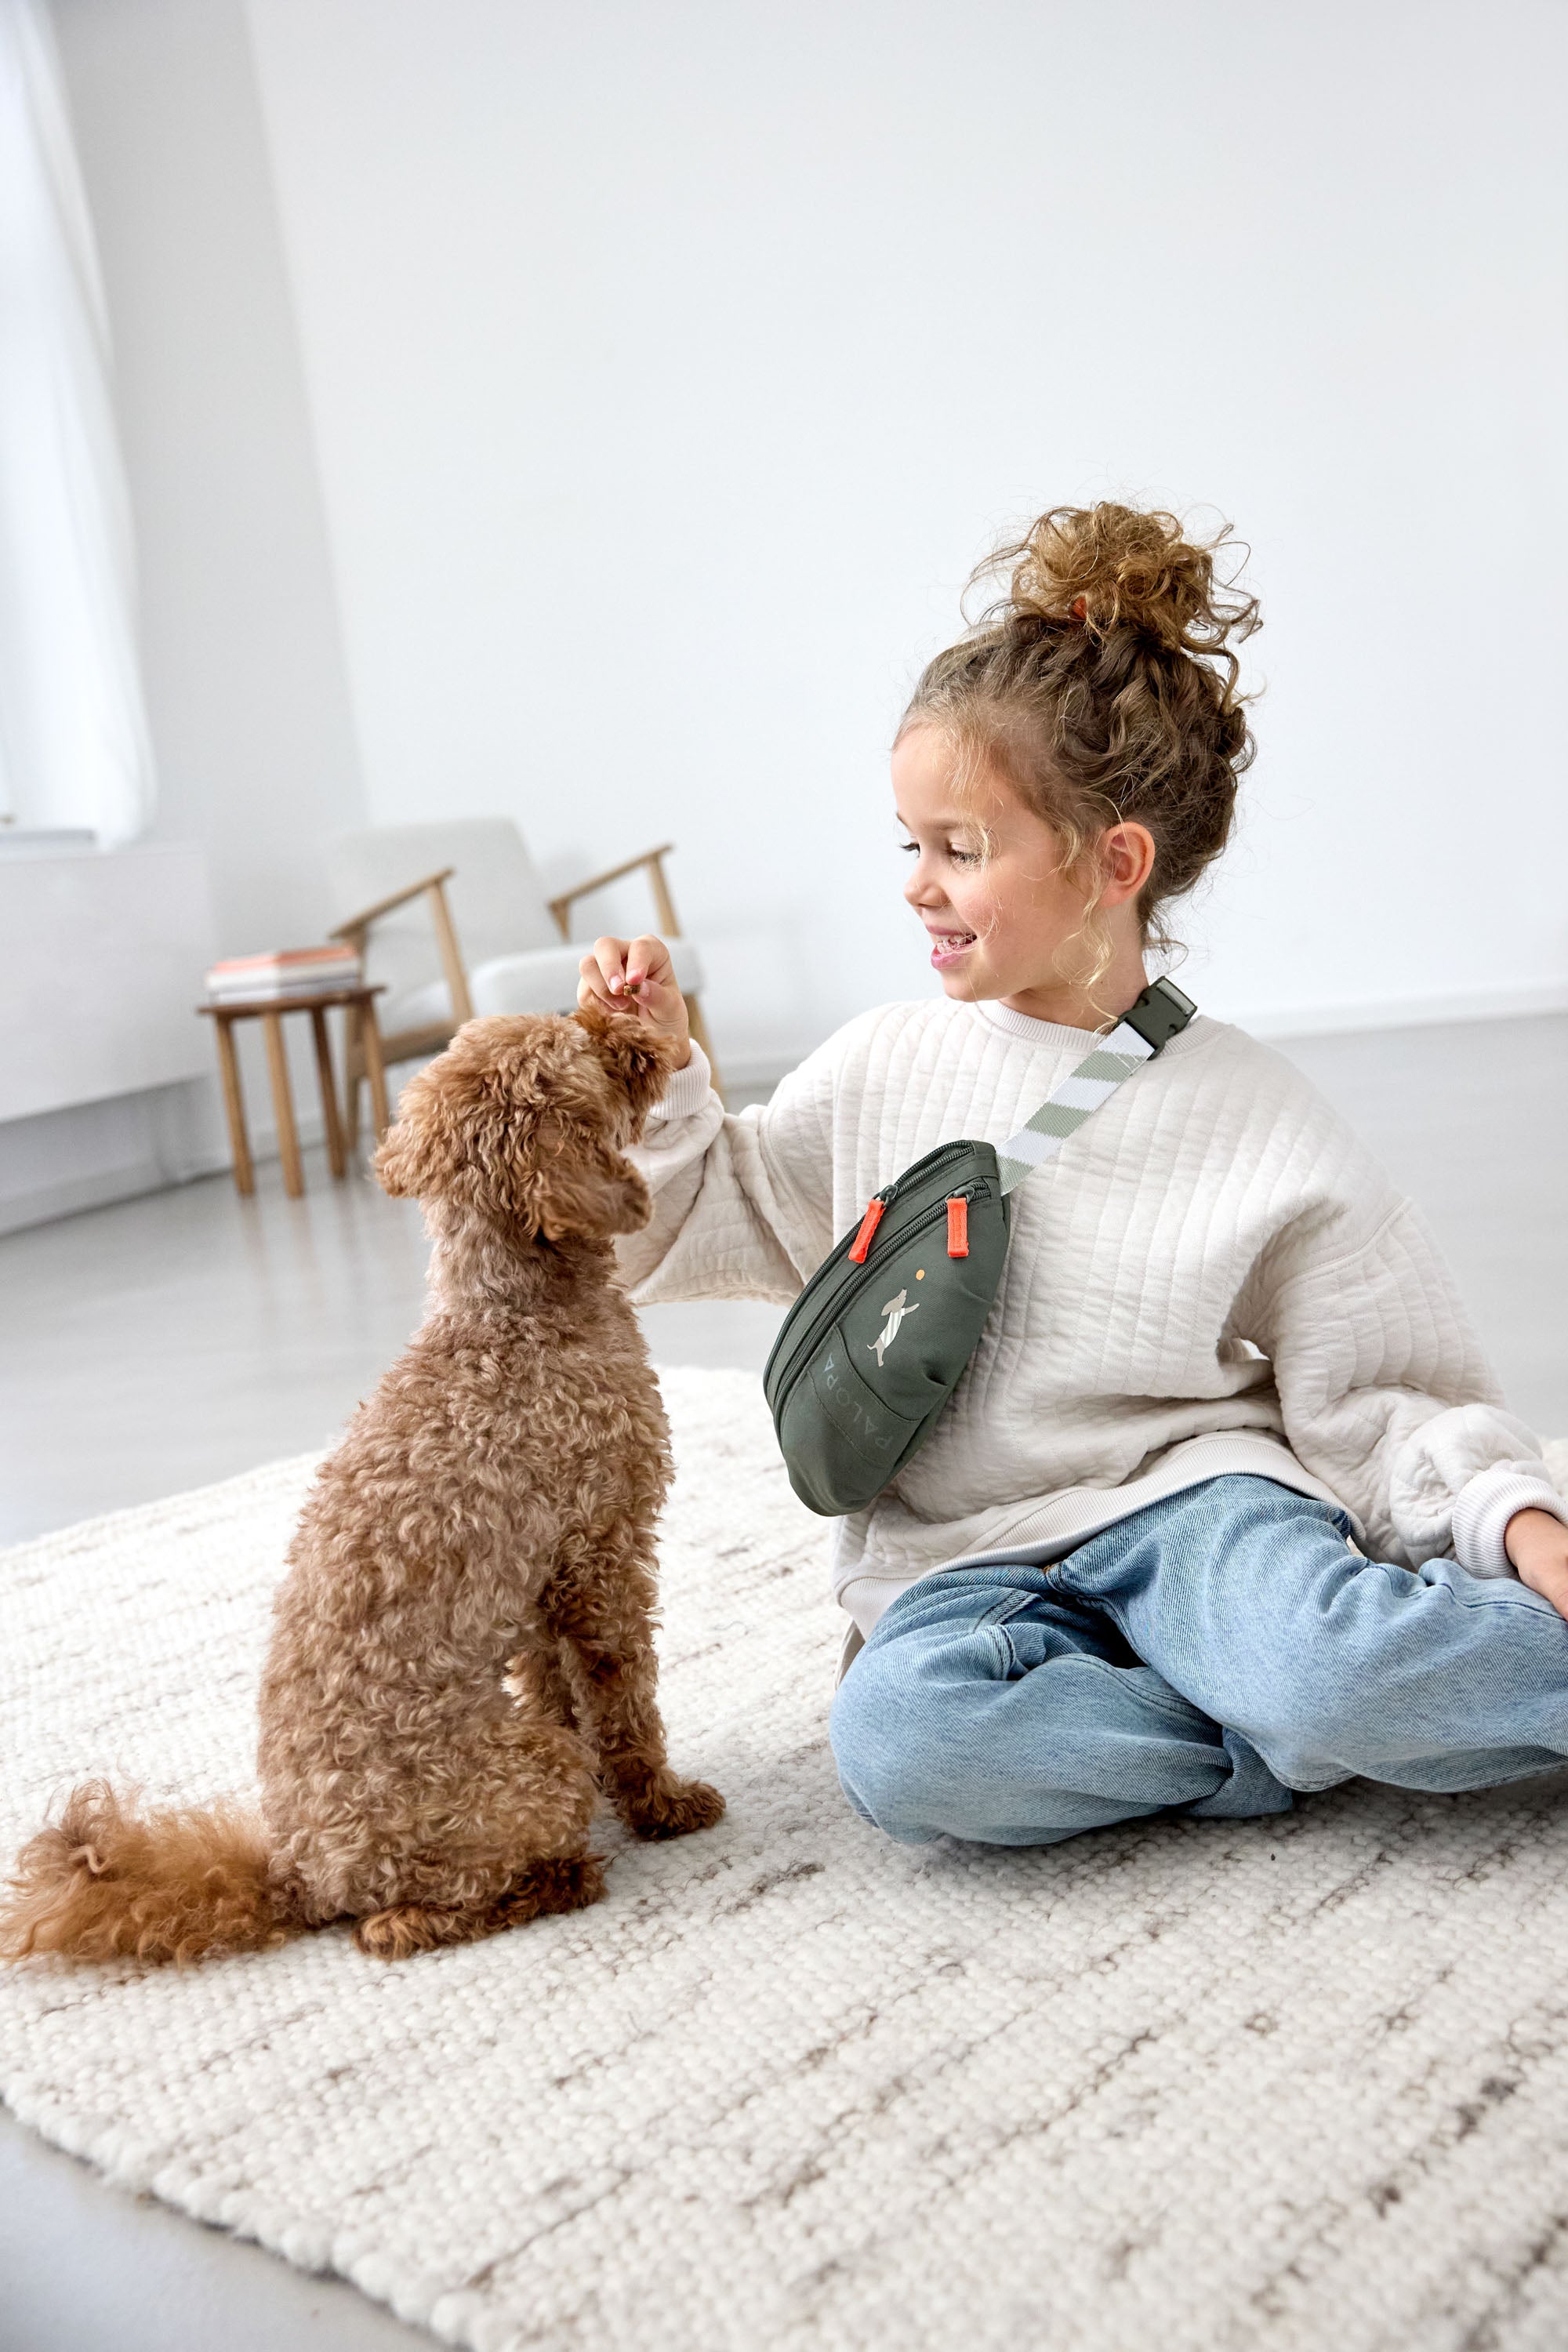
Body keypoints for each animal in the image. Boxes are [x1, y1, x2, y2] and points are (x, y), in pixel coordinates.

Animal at [0, 1007, 724, 1966]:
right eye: (586, 1047)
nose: (622, 1018)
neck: (514, 1319)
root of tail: (301, 1873)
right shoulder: (601, 1556)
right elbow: (623, 1704)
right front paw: (662, 1805)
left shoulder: (537, 1580)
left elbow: (553, 1684)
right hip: (521, 1774)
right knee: (394, 1928)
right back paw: (558, 1879)